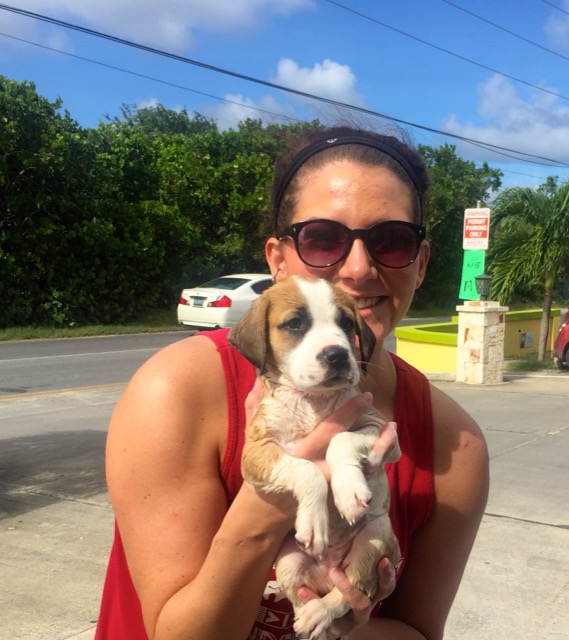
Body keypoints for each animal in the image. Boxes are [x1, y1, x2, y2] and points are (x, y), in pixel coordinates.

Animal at [227, 276, 400, 640]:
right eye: (295, 324)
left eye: (346, 324)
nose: (337, 354)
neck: (313, 401)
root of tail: (326, 573)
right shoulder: (257, 453)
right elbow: (306, 468)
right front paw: (315, 520)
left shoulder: (384, 432)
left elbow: (340, 438)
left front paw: (348, 492)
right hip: (289, 561)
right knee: (299, 599)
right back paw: (309, 615)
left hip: (375, 537)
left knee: (350, 591)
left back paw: (321, 612)